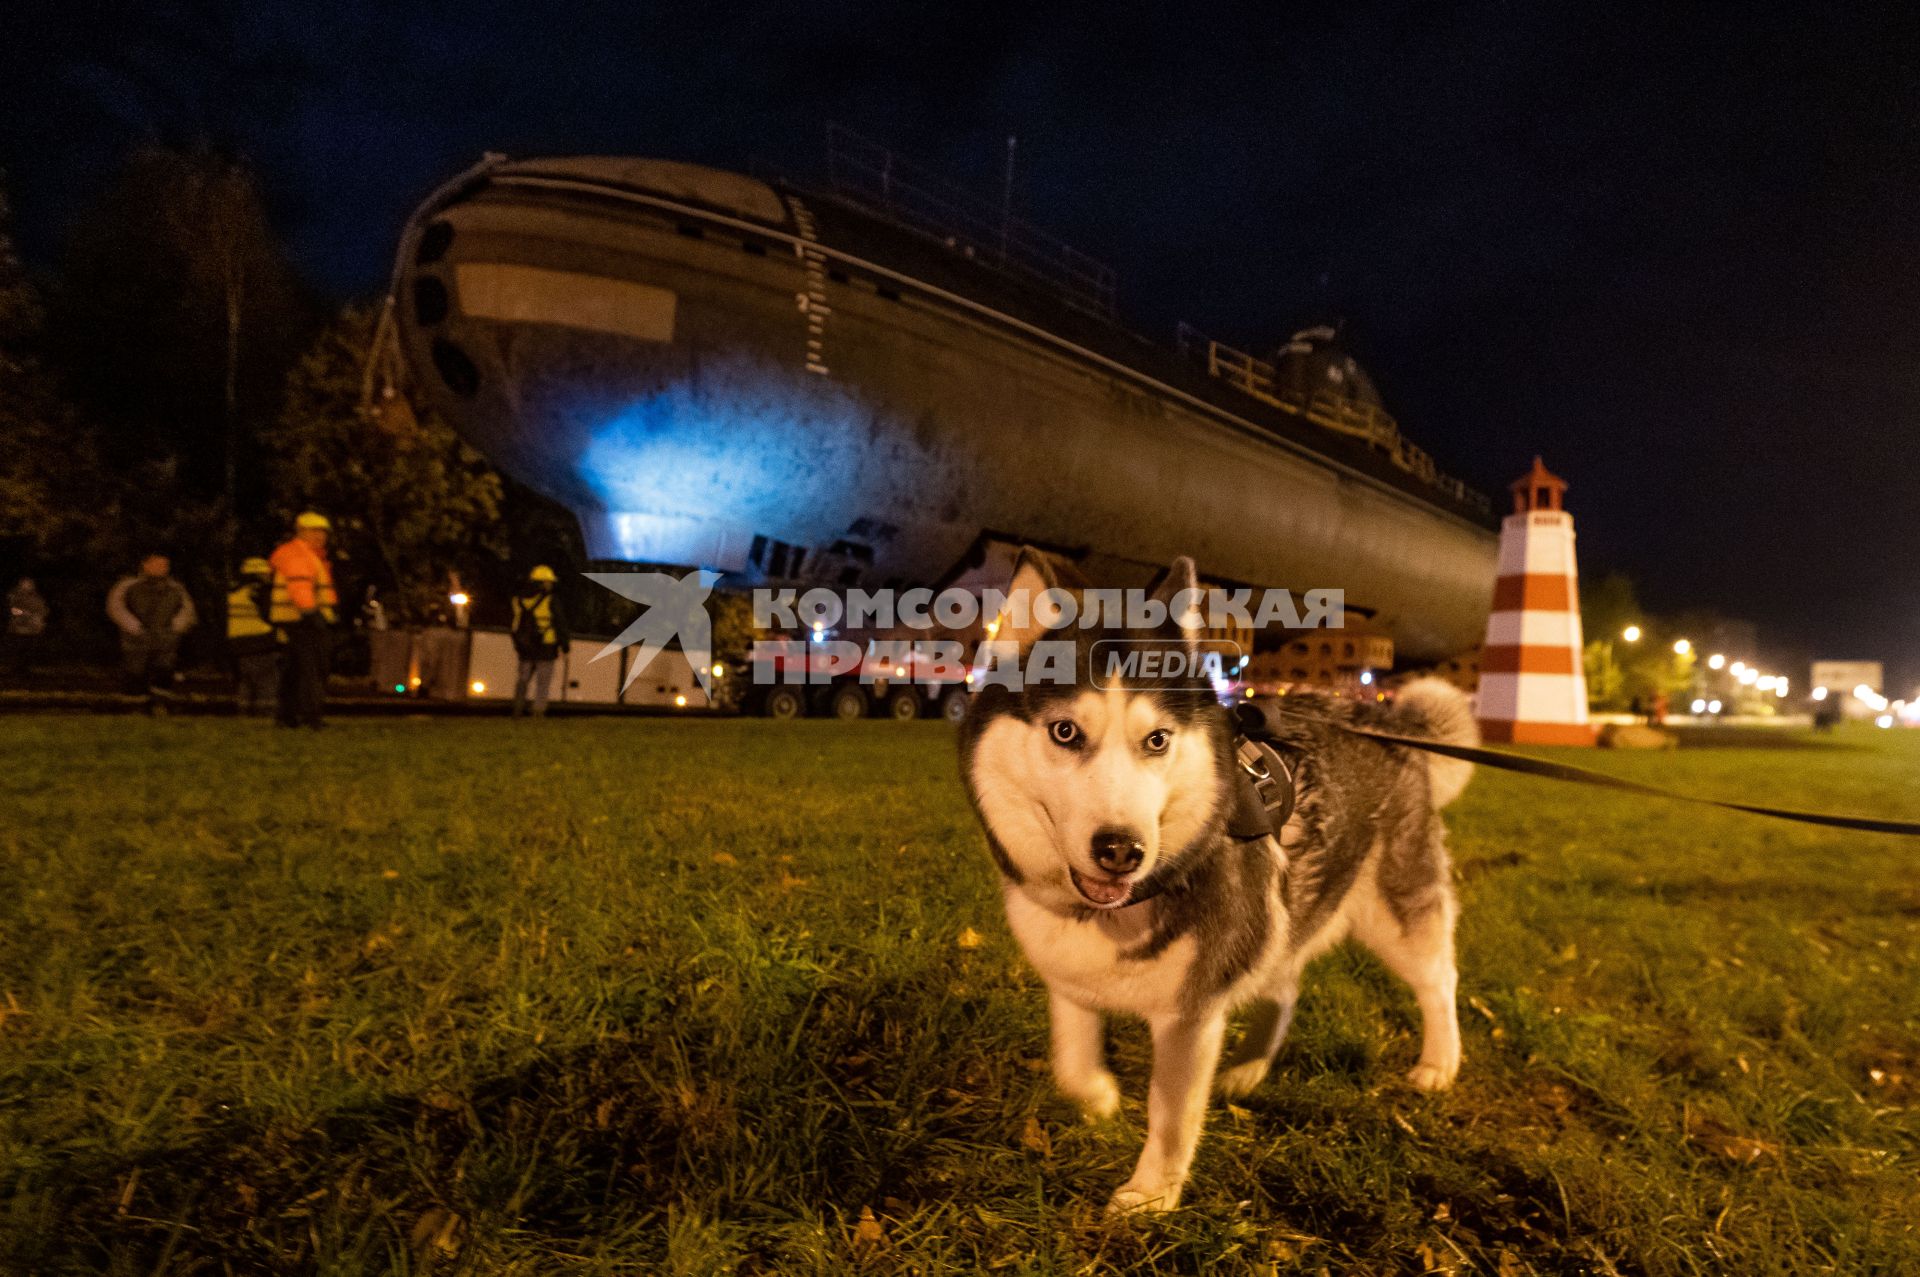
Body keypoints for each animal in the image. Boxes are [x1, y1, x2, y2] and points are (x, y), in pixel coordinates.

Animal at [956, 549, 1466, 1205]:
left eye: (1157, 739)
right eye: (1065, 731)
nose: (1121, 850)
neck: (1111, 911)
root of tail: (1379, 716)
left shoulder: (1191, 1015)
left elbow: (1171, 1114)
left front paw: (1150, 1197)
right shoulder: (1070, 980)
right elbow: (1070, 1063)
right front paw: (1099, 1098)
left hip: (1395, 912)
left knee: (1438, 981)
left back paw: (1439, 1063)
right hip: (1282, 915)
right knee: (1284, 985)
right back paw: (1247, 1070)